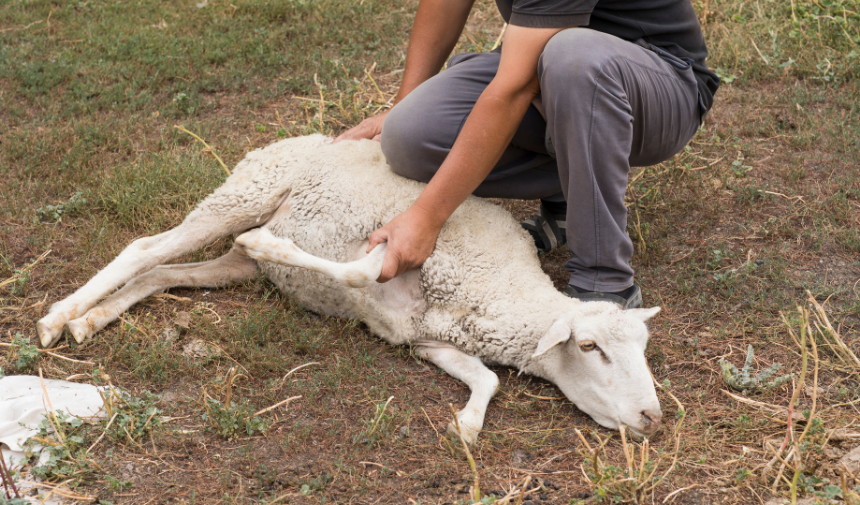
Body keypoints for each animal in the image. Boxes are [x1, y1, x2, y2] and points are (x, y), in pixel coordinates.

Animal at [35, 133, 664, 440]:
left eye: (643, 349)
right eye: (590, 347)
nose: (654, 418)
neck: (500, 289)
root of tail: (296, 138)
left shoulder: (424, 337)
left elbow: (485, 379)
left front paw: (467, 424)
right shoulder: (392, 256)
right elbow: (358, 271)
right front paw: (272, 244)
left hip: (232, 262)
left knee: (163, 272)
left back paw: (90, 320)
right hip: (243, 194)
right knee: (147, 249)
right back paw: (57, 318)